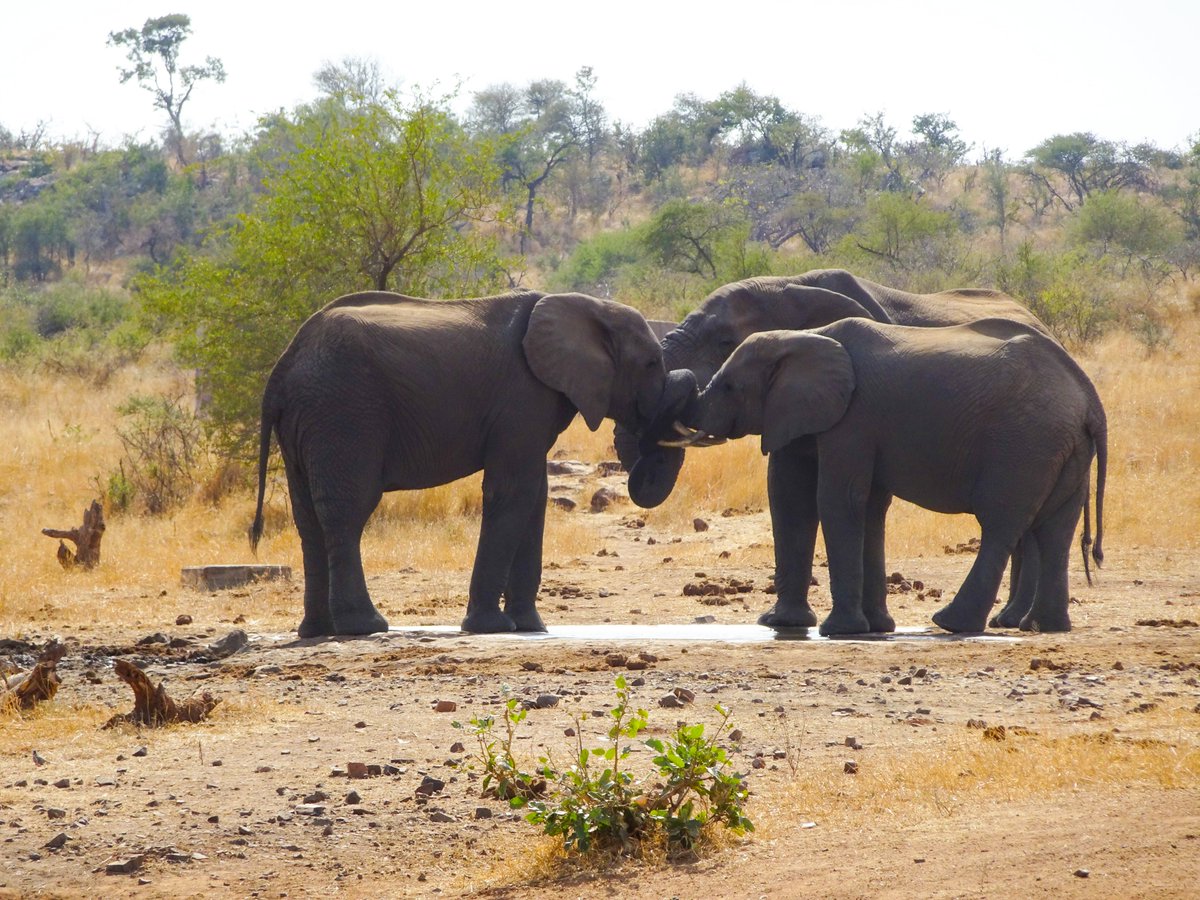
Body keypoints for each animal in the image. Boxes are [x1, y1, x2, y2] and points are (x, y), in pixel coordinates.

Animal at [249, 289, 667, 637]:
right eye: (651, 363)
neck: (589, 304)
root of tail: (282, 368)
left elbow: (535, 495)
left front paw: (531, 626)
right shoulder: (522, 398)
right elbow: (513, 492)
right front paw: (493, 628)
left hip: (309, 421)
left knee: (307, 518)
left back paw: (315, 631)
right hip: (343, 412)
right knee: (347, 512)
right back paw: (365, 627)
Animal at [676, 318, 1107, 635]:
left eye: (729, 386)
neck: (804, 337)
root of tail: (1089, 397)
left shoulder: (853, 419)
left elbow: (837, 500)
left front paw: (840, 631)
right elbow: (819, 502)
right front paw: (793, 624)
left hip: (1024, 445)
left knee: (1002, 526)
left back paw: (952, 623)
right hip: (1064, 449)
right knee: (1054, 532)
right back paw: (1044, 627)